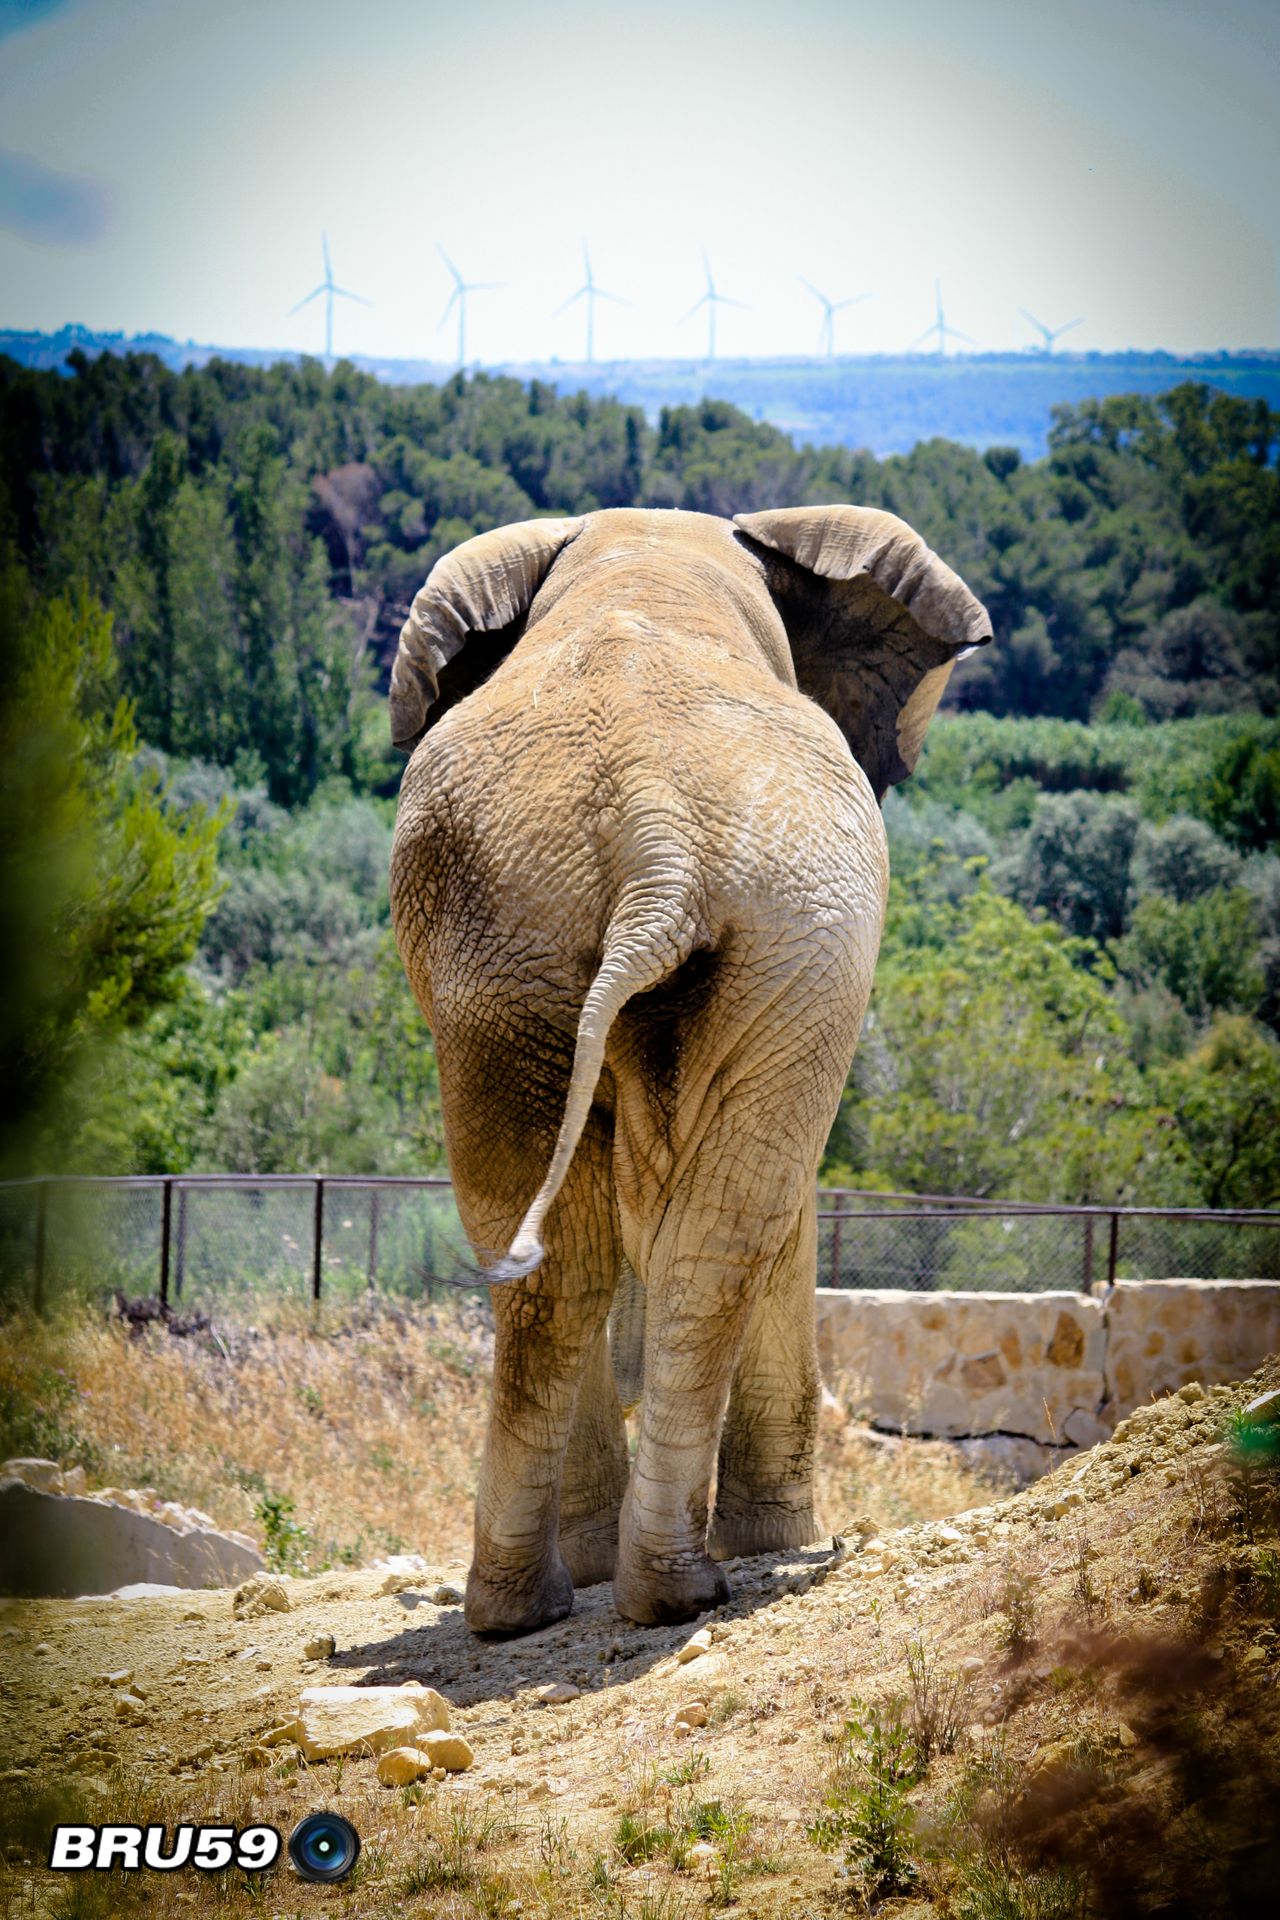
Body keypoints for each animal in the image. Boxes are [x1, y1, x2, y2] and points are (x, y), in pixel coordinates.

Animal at [391, 503, 990, 1628]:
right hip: (777, 930)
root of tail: (653, 829)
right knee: (713, 1228)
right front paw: (779, 1546)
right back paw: (666, 1589)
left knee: (557, 1248)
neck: (644, 559)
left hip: (506, 939)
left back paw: (548, 1605)